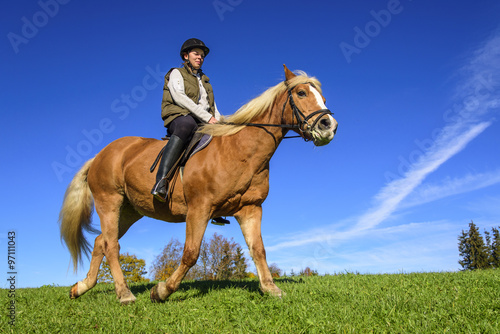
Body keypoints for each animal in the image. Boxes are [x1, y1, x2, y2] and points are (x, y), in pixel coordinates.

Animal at [59, 65, 340, 306]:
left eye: (323, 97)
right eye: (301, 93)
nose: (329, 126)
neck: (239, 150)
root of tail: (100, 155)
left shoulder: (250, 209)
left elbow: (258, 249)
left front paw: (270, 288)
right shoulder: (199, 209)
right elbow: (191, 253)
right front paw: (162, 291)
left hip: (129, 210)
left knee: (101, 242)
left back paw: (81, 287)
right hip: (110, 201)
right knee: (111, 245)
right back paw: (124, 293)